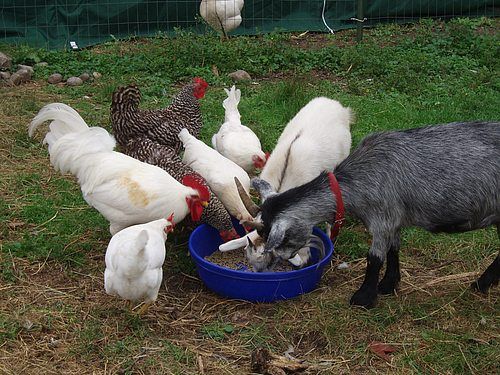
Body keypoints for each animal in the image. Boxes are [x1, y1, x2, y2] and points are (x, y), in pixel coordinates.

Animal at [239, 122, 500, 310]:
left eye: (280, 240)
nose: (264, 267)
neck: (361, 180)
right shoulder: (394, 219)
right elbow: (393, 249)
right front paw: (388, 284)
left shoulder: (383, 218)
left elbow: (374, 257)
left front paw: (363, 297)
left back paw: (481, 283)